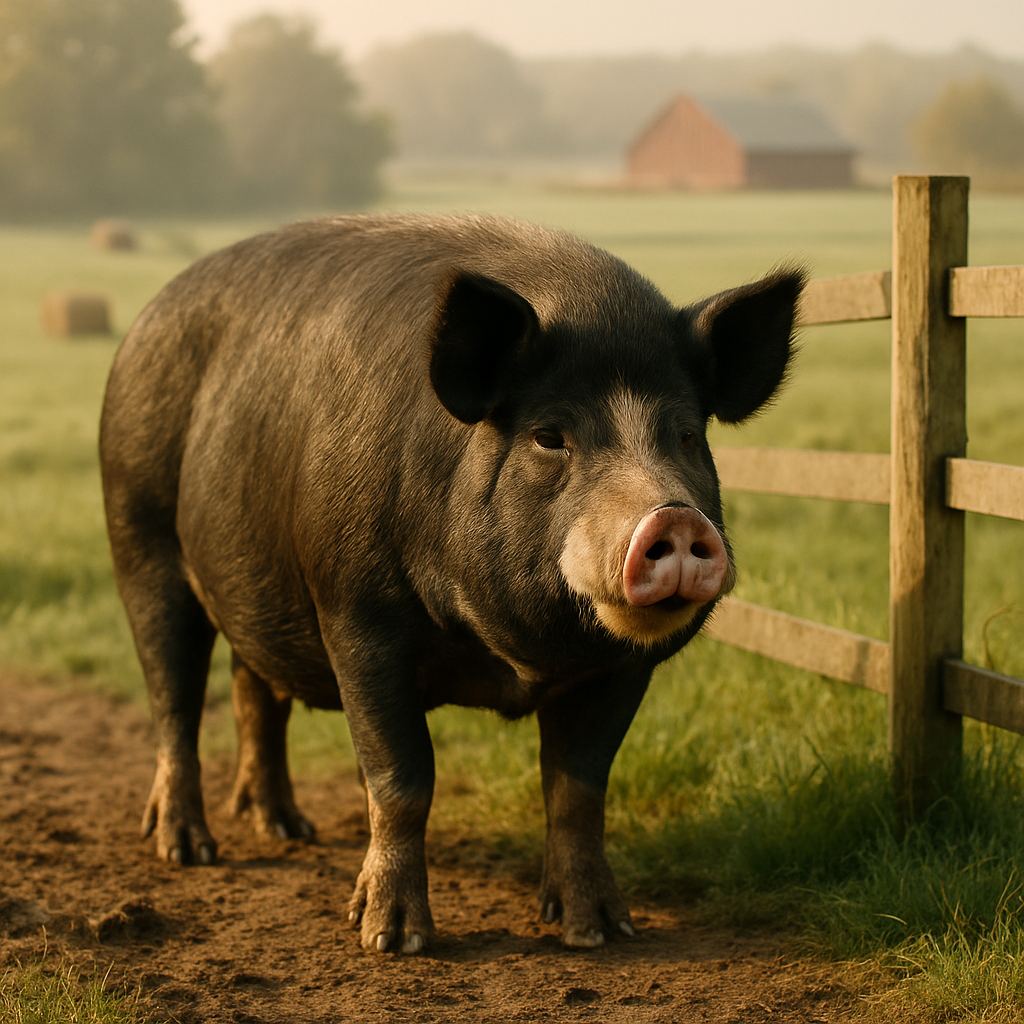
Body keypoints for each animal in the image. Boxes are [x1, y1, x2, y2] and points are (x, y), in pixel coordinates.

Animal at [99, 213, 802, 953]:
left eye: (688, 436)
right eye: (550, 435)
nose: (673, 516)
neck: (513, 659)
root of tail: (145, 320)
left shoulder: (619, 670)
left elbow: (579, 789)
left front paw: (599, 933)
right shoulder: (356, 618)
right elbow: (402, 777)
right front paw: (392, 940)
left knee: (252, 689)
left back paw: (287, 829)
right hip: (139, 536)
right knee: (172, 696)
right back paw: (187, 850)